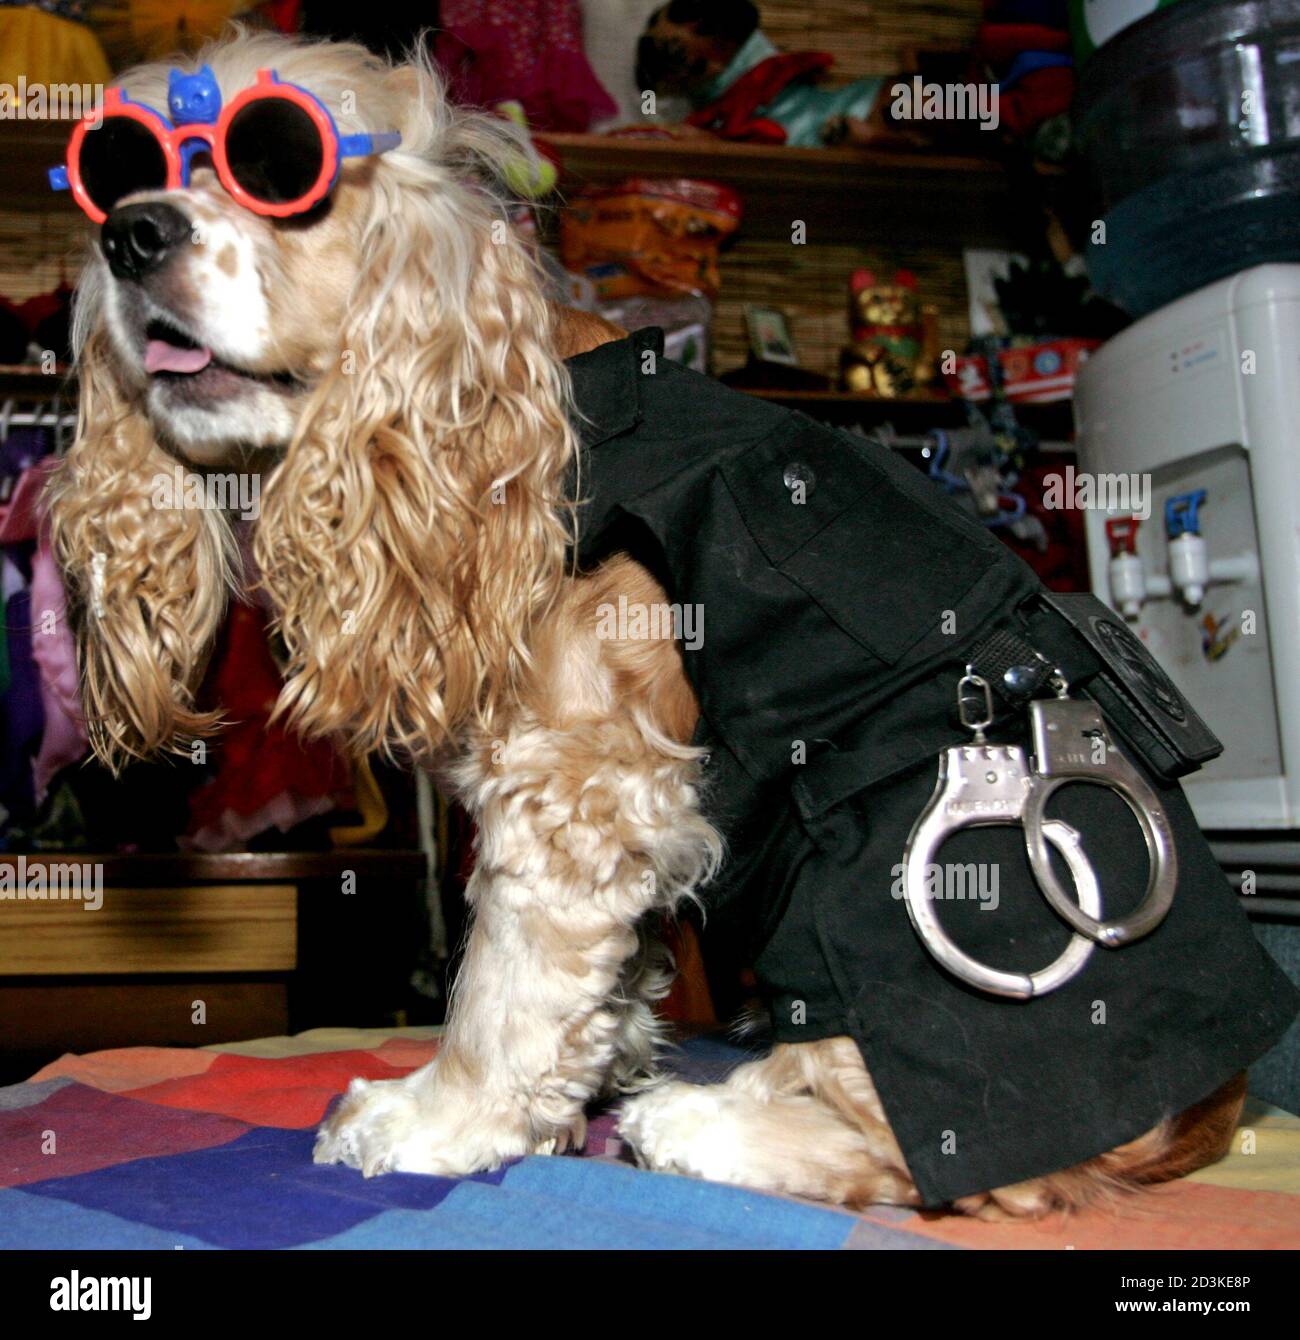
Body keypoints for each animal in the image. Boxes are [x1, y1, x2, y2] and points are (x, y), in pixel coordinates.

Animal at [50, 28, 1265, 1227]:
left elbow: (499, 992)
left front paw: (436, 1119)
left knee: (958, 1156)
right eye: (122, 167)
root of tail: (1214, 1107)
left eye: (279, 173)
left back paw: (703, 1120)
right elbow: (600, 976)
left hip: (893, 893)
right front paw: (596, 1066)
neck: (480, 418)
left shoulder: (577, 783)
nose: (131, 231)